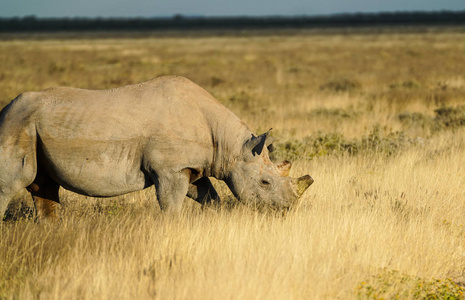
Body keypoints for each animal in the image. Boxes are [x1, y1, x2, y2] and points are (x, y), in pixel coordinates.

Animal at [0, 75, 314, 220]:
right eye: (264, 182)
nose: (286, 211)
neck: (229, 146)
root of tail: (6, 108)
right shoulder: (170, 170)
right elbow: (171, 206)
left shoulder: (190, 167)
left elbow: (209, 197)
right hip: (16, 123)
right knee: (13, 182)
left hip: (34, 126)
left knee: (44, 186)